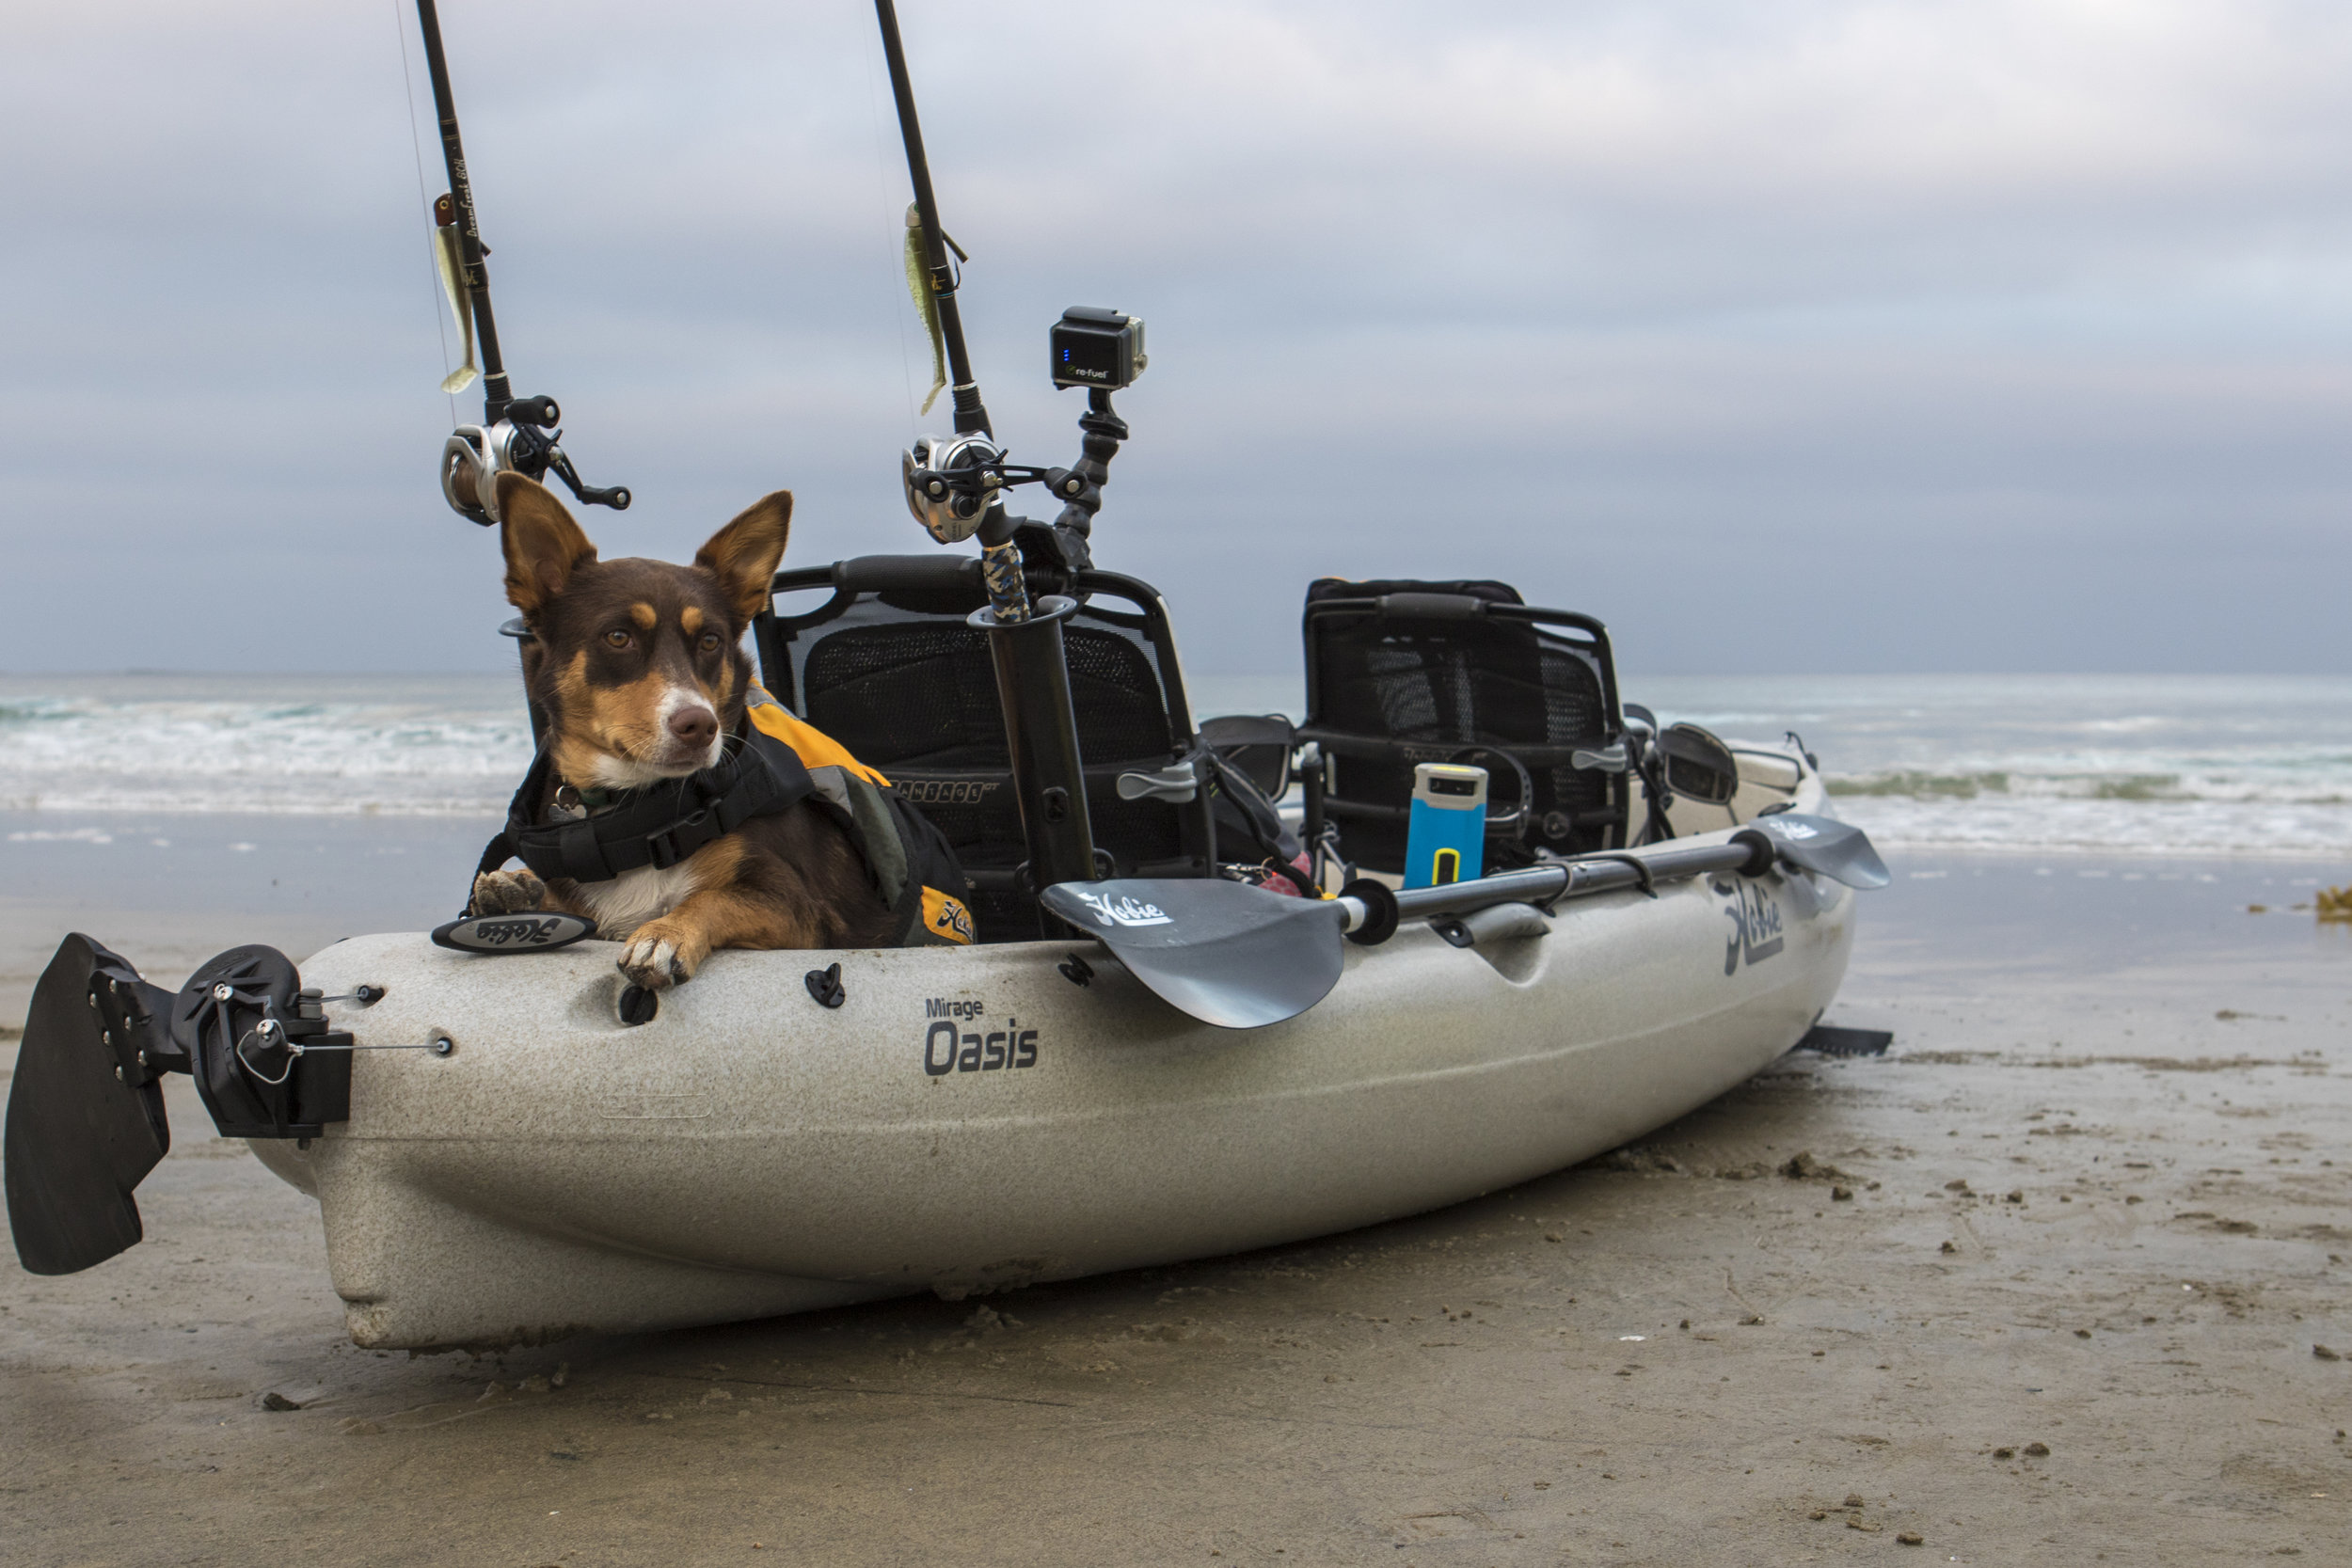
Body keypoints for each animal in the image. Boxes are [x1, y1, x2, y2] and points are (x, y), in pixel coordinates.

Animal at [475, 469, 908, 991]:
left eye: (710, 640)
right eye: (618, 637)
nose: (700, 726)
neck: (641, 813)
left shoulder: (803, 911)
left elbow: (711, 897)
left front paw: (664, 934)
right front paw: (513, 887)